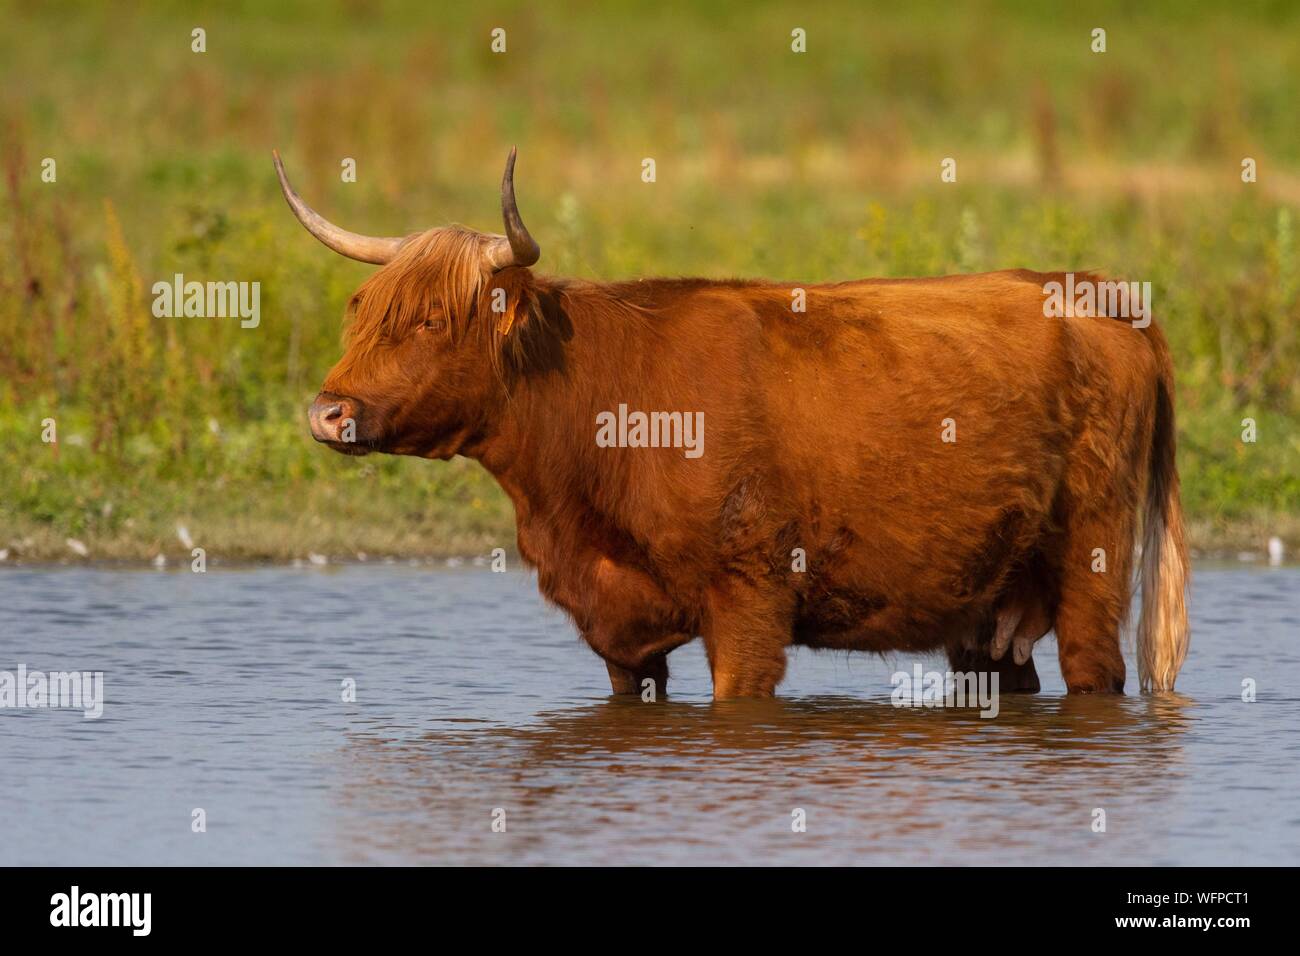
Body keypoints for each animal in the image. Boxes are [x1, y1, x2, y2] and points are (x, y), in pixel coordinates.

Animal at [274, 151, 1190, 702]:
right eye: (363, 310)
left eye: (432, 320)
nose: (328, 411)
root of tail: (1100, 295)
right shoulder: (621, 637)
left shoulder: (748, 604)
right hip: (993, 610)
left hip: (1092, 561)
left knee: (1097, 669)